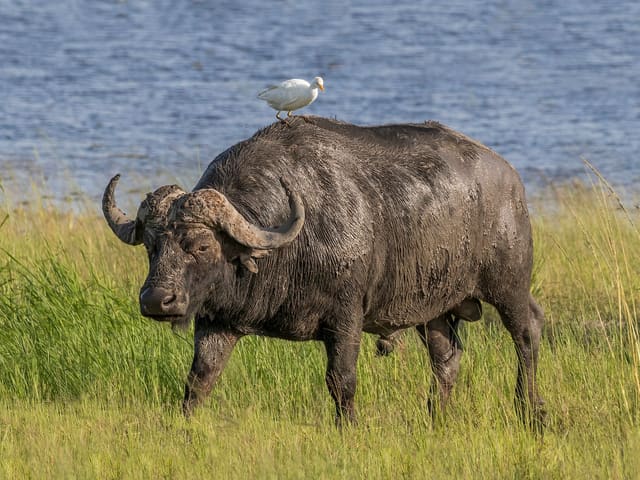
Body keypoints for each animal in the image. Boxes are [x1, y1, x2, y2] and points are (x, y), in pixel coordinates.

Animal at [102, 116, 545, 427]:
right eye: (152, 246)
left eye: (201, 246)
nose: (157, 301)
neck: (288, 248)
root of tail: (510, 177)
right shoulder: (217, 321)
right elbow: (200, 378)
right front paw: (184, 423)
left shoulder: (346, 318)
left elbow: (341, 379)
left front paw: (348, 426)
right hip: (432, 309)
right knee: (447, 358)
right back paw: (435, 417)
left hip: (509, 284)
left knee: (527, 334)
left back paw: (531, 411)